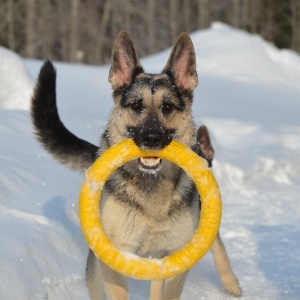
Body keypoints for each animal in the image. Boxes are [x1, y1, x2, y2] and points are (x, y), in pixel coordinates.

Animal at [31, 31, 241, 300]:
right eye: (135, 105)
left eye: (168, 107)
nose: (151, 138)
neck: (150, 185)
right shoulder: (114, 256)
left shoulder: (172, 257)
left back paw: (232, 283)